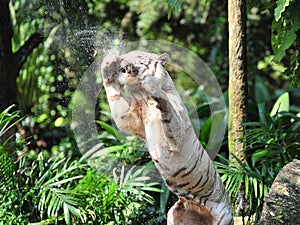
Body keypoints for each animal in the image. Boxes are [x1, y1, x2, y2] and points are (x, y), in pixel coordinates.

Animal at [101, 50, 232, 224]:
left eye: (137, 55)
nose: (121, 59)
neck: (142, 94)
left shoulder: (177, 129)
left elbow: (167, 108)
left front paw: (152, 85)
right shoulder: (128, 115)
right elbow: (114, 96)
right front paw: (108, 61)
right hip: (173, 215)